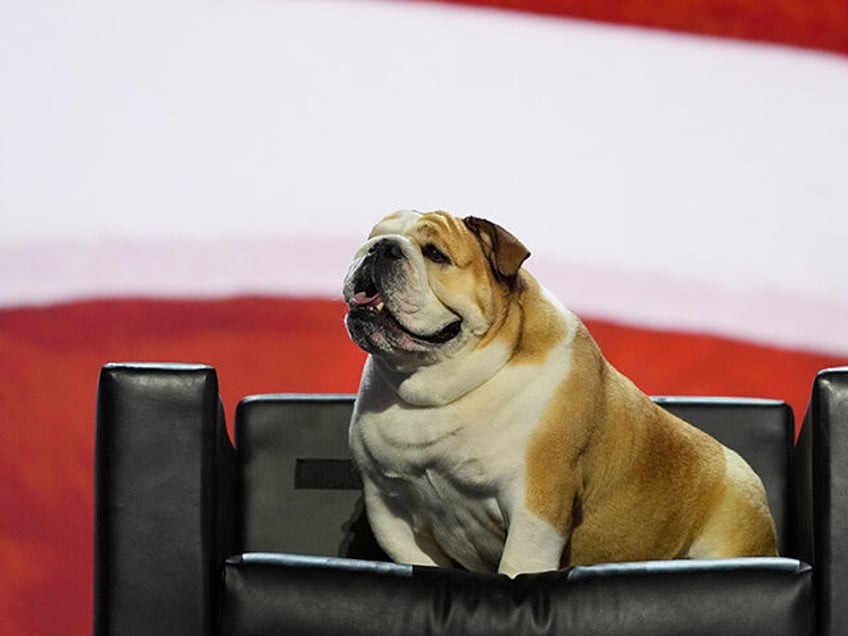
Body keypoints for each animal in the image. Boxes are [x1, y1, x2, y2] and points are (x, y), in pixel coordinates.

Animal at [342, 210, 776, 576]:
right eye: (373, 236)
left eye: (435, 254)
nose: (381, 247)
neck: (441, 386)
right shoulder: (390, 512)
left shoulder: (536, 505)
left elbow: (518, 565)